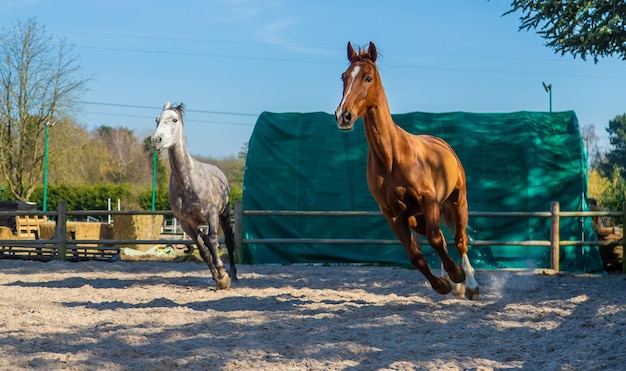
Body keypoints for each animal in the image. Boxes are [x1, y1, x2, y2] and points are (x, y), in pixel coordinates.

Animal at [151, 101, 236, 290]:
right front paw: (217, 276)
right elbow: (203, 249)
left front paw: (223, 277)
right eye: (157, 119)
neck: (188, 182)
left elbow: (213, 240)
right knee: (205, 241)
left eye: (174, 119)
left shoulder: (212, 214)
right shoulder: (185, 223)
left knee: (228, 240)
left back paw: (234, 275)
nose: (156, 140)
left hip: (224, 214)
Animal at [336, 42, 478, 300]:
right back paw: (453, 284)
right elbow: (415, 255)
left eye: (368, 77)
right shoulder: (392, 213)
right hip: (416, 217)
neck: (392, 157)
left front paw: (456, 275)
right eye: (344, 77)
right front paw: (443, 285)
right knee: (442, 239)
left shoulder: (429, 199)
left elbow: (435, 240)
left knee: (459, 240)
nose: (343, 115)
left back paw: (470, 284)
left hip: (457, 201)